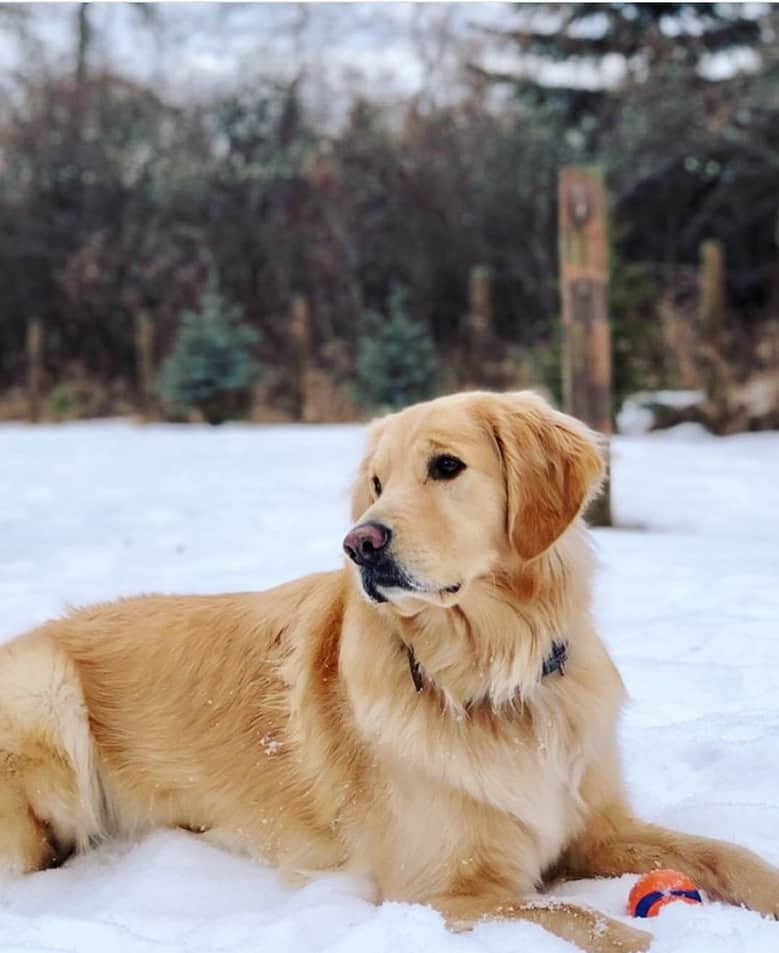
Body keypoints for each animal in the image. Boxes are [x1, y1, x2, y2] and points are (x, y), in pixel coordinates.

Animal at [1, 390, 779, 948]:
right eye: (376, 482)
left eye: (446, 466)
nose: (359, 543)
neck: (489, 674)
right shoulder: (441, 890)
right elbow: (604, 928)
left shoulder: (595, 827)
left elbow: (733, 855)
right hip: (45, 690)